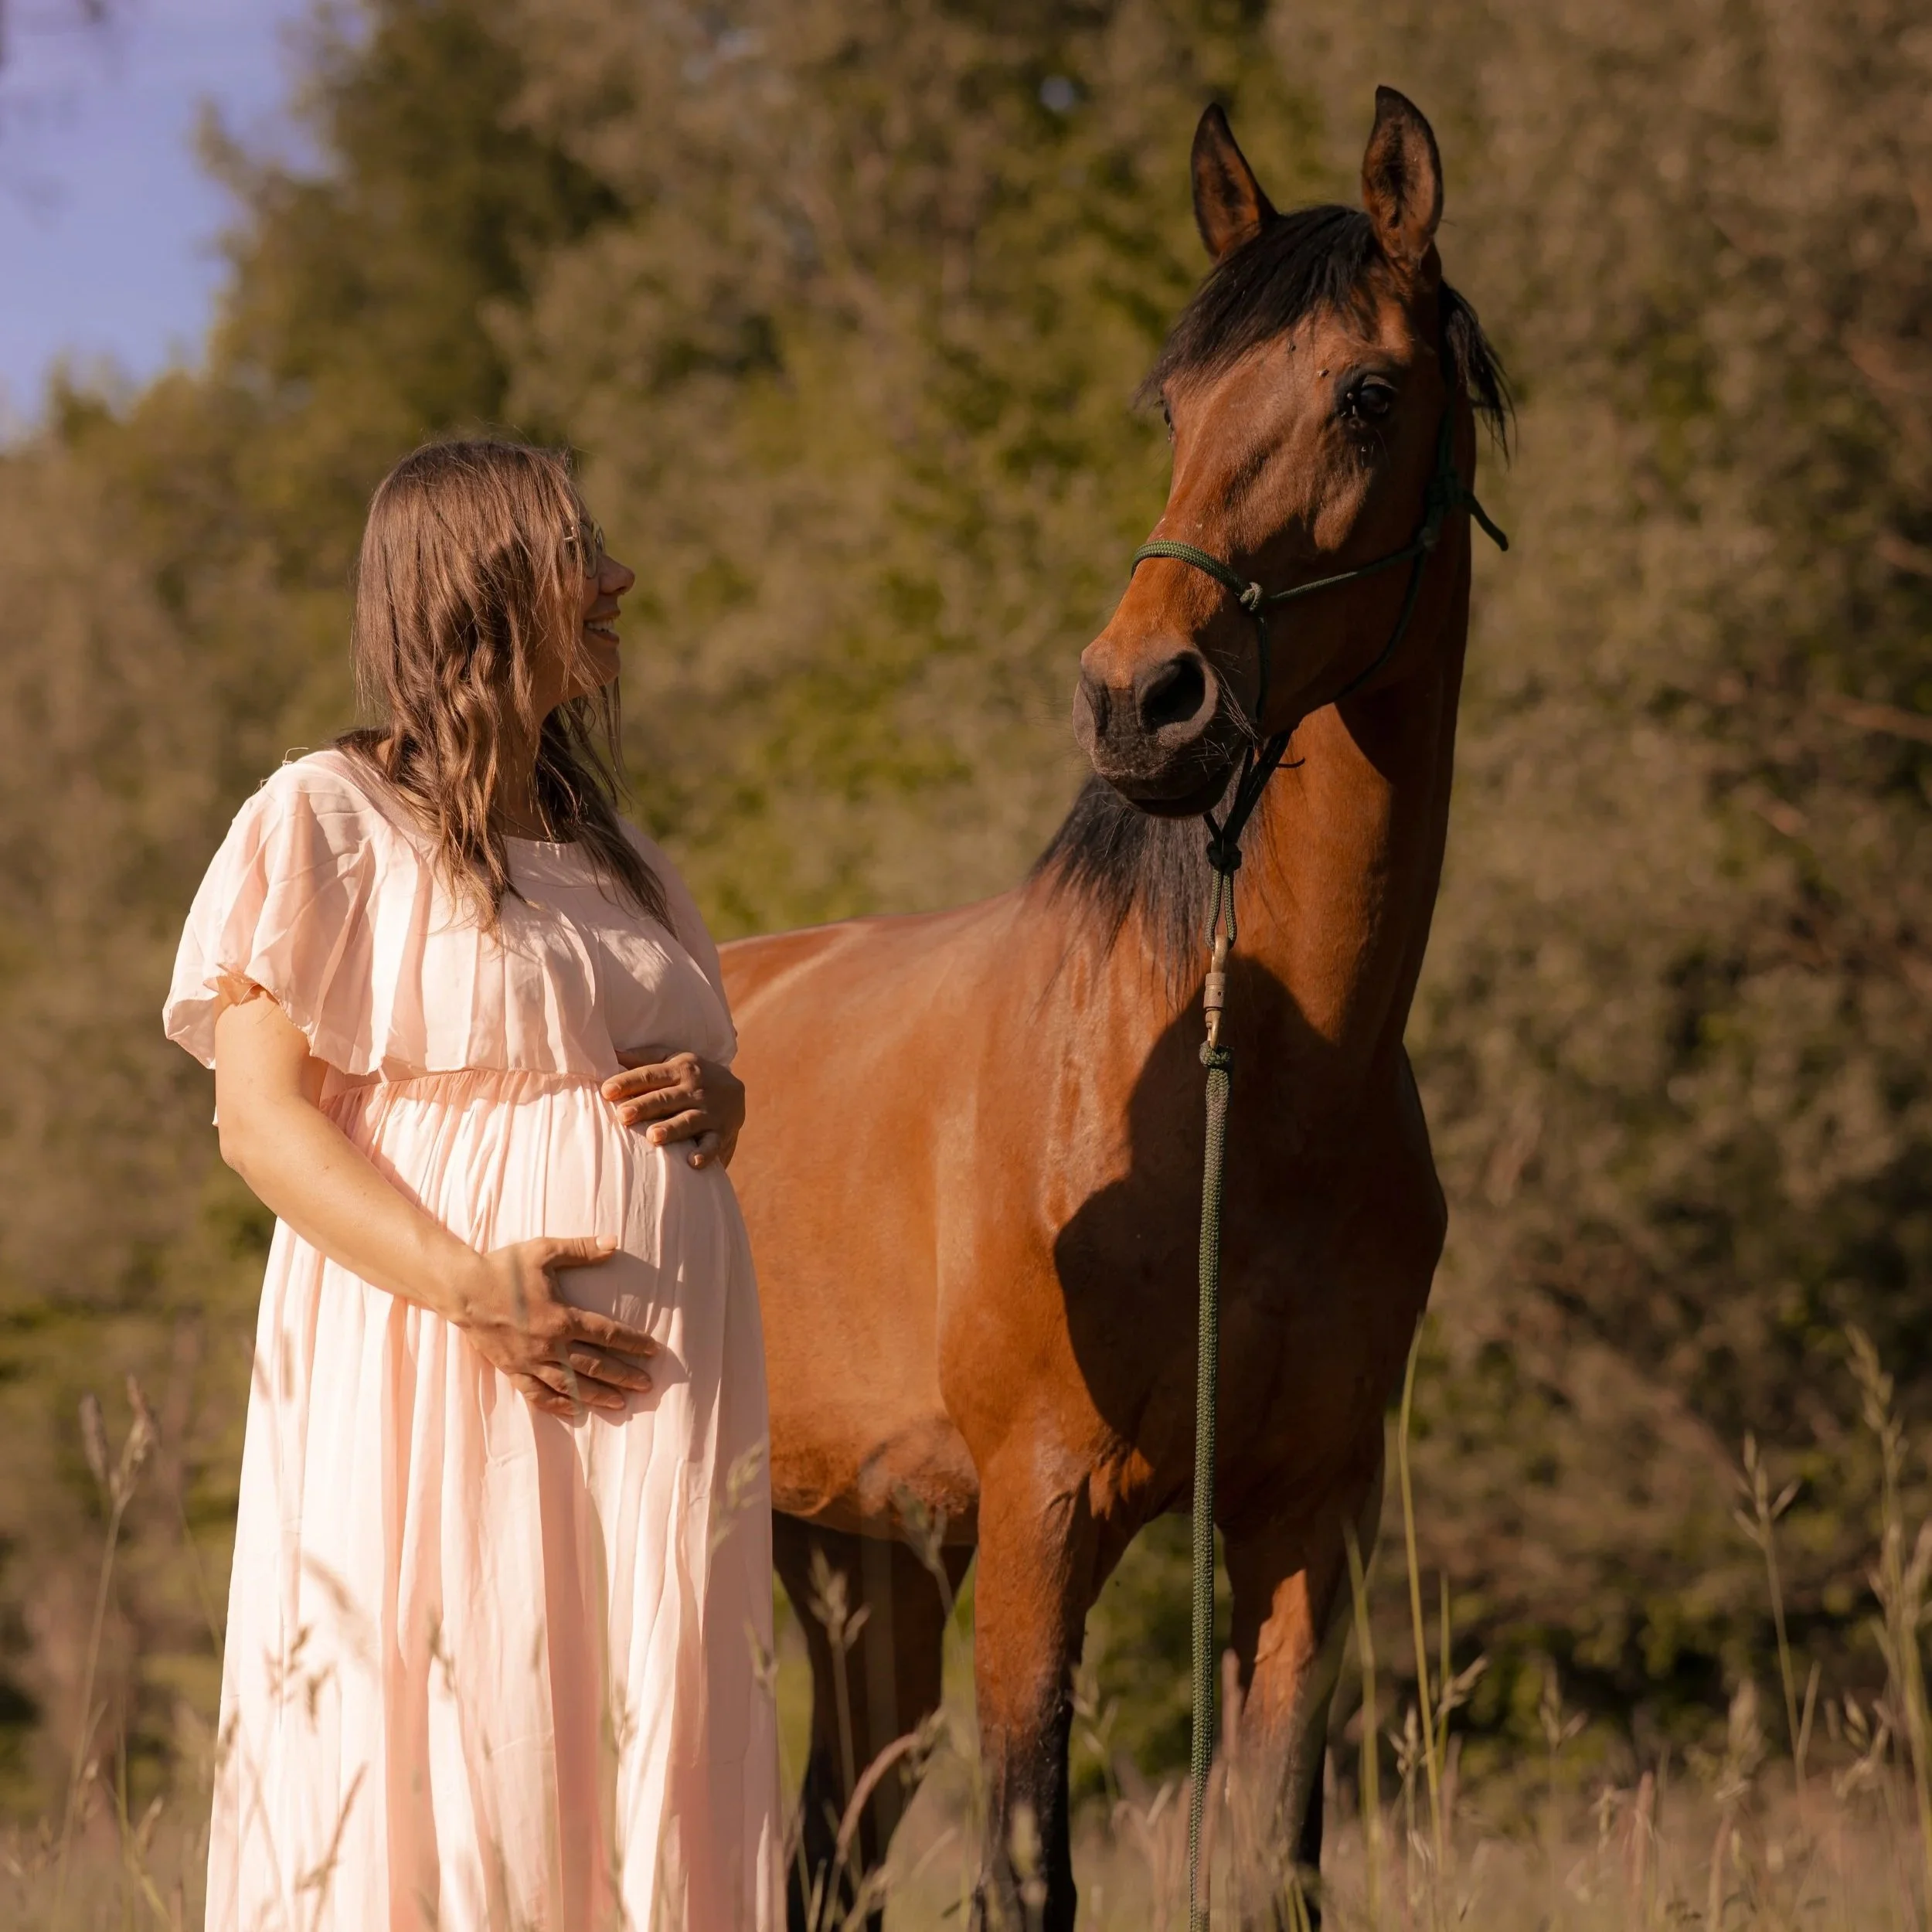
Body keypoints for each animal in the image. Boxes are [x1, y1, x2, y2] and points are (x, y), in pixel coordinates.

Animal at [721, 86, 1508, 1930]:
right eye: (1175, 400)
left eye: (1368, 394)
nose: (1142, 698)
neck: (1250, 1090)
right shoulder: (1042, 1513)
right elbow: (1031, 1872)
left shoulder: (1305, 1522)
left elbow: (1275, 1858)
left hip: (864, 1566)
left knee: (829, 1852)